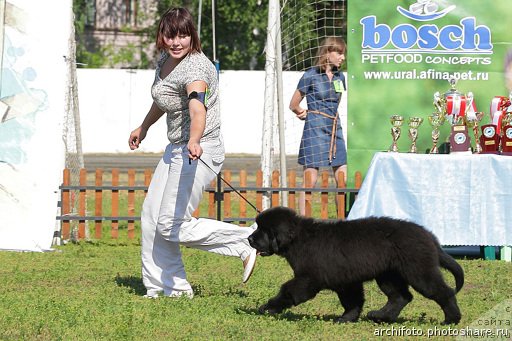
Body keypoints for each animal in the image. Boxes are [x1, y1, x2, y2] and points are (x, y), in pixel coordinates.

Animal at [248, 206, 464, 322]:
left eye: (263, 230)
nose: (249, 239)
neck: (298, 239)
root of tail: (428, 235)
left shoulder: (308, 278)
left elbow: (289, 291)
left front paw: (268, 307)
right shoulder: (344, 279)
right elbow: (352, 300)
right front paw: (346, 318)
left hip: (418, 270)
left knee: (442, 291)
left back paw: (451, 319)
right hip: (388, 274)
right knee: (400, 296)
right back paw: (381, 316)